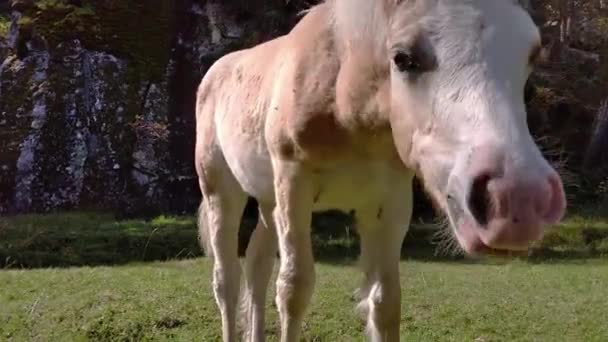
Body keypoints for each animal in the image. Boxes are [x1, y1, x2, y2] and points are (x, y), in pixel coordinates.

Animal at [194, 1, 564, 340]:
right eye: (403, 58)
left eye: (531, 55)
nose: (517, 200)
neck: (344, 93)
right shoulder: (293, 184)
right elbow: (293, 288)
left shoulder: (390, 201)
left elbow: (385, 302)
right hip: (223, 192)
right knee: (227, 279)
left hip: (268, 201)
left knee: (257, 266)